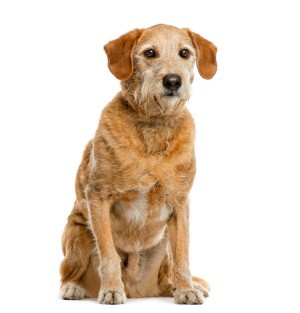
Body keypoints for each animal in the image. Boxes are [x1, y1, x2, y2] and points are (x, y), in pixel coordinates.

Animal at [59, 23, 218, 302]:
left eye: (184, 53)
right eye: (149, 53)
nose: (173, 80)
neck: (154, 127)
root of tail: (136, 289)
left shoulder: (180, 204)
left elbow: (183, 254)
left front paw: (186, 290)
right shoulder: (98, 197)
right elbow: (108, 254)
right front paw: (112, 289)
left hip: (162, 245)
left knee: (169, 271)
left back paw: (180, 285)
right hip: (77, 234)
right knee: (67, 271)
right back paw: (74, 287)